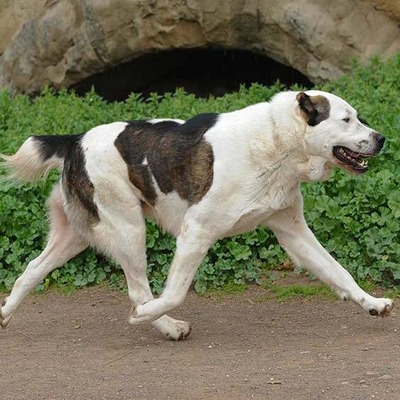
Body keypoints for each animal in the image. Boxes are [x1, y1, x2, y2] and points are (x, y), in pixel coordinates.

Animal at [0, 89, 394, 340]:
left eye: (357, 118)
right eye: (346, 119)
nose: (381, 138)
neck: (276, 143)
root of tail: (75, 140)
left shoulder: (294, 233)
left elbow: (340, 273)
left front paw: (374, 304)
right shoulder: (196, 232)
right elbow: (174, 293)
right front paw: (149, 317)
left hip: (75, 235)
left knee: (30, 272)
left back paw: (4, 315)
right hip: (129, 229)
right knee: (139, 292)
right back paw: (167, 326)